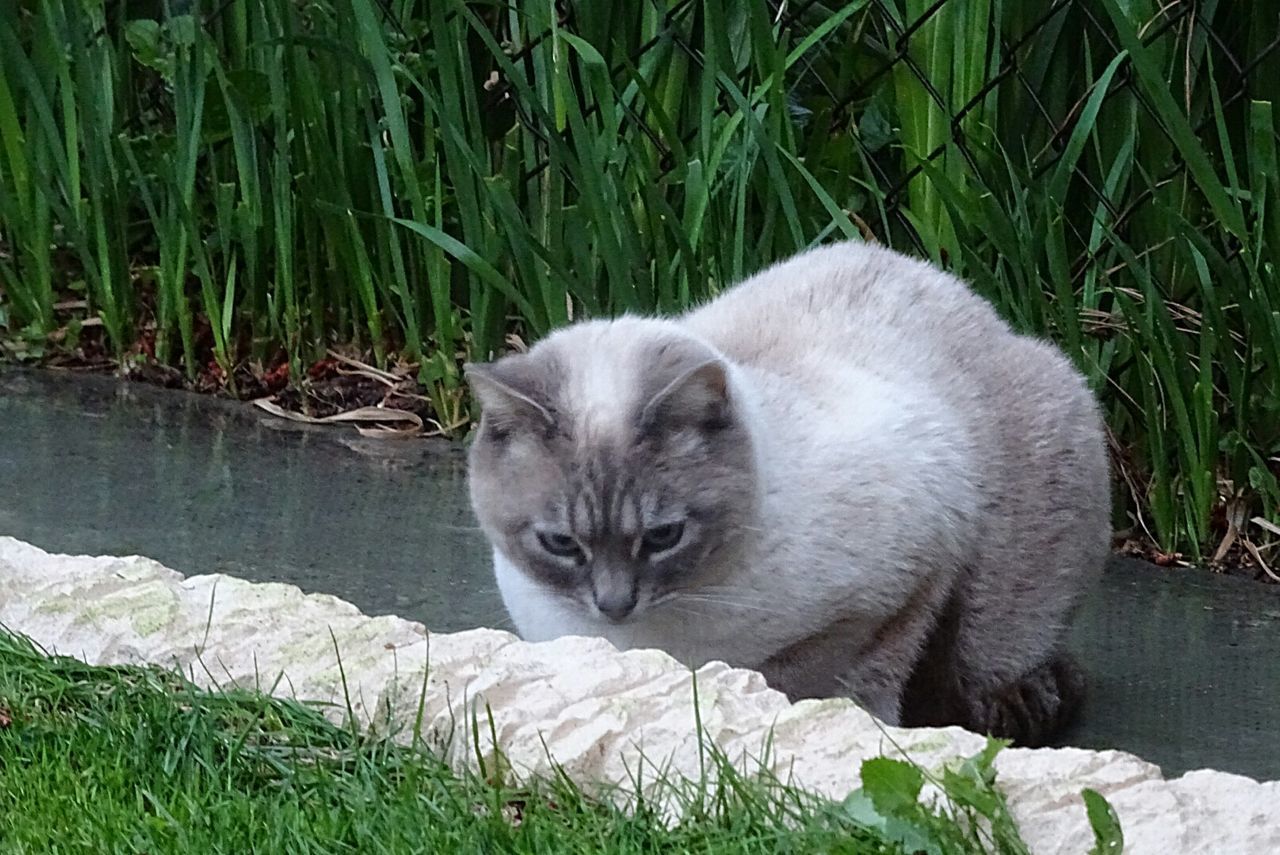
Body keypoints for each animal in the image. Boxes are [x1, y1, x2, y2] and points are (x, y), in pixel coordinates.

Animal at [463, 240, 1111, 747]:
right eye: (560, 544)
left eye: (664, 537)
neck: (656, 638)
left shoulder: (912, 579)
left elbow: (832, 684)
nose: (614, 606)